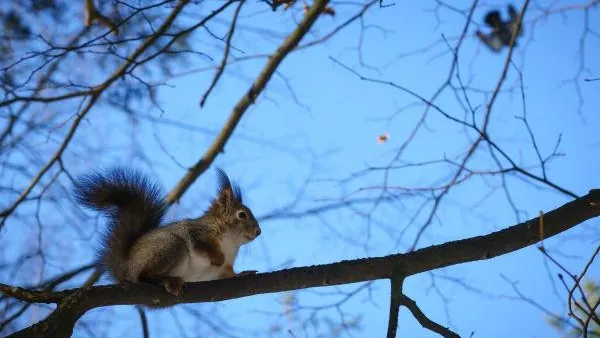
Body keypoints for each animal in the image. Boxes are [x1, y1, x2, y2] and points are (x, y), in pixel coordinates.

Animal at [72, 166, 260, 296]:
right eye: (242, 215)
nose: (258, 232)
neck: (231, 243)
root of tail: (126, 268)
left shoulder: (225, 269)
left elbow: (228, 274)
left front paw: (242, 274)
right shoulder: (199, 233)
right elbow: (203, 246)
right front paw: (218, 258)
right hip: (170, 246)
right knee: (145, 275)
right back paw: (169, 281)